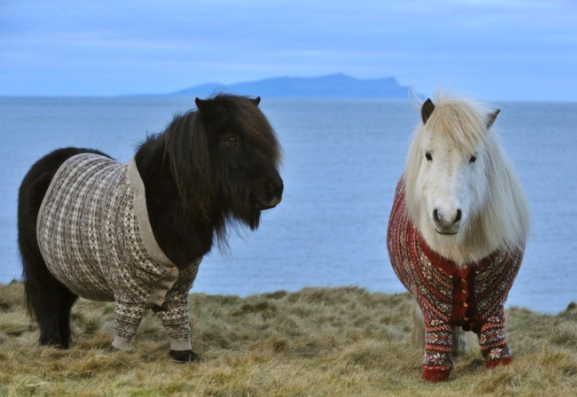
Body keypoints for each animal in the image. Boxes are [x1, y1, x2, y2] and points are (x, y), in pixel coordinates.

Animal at [388, 91, 532, 382]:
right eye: (428, 155)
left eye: (473, 157)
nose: (446, 217)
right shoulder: (433, 309)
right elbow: (436, 342)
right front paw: (436, 369)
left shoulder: (493, 310)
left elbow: (495, 345)